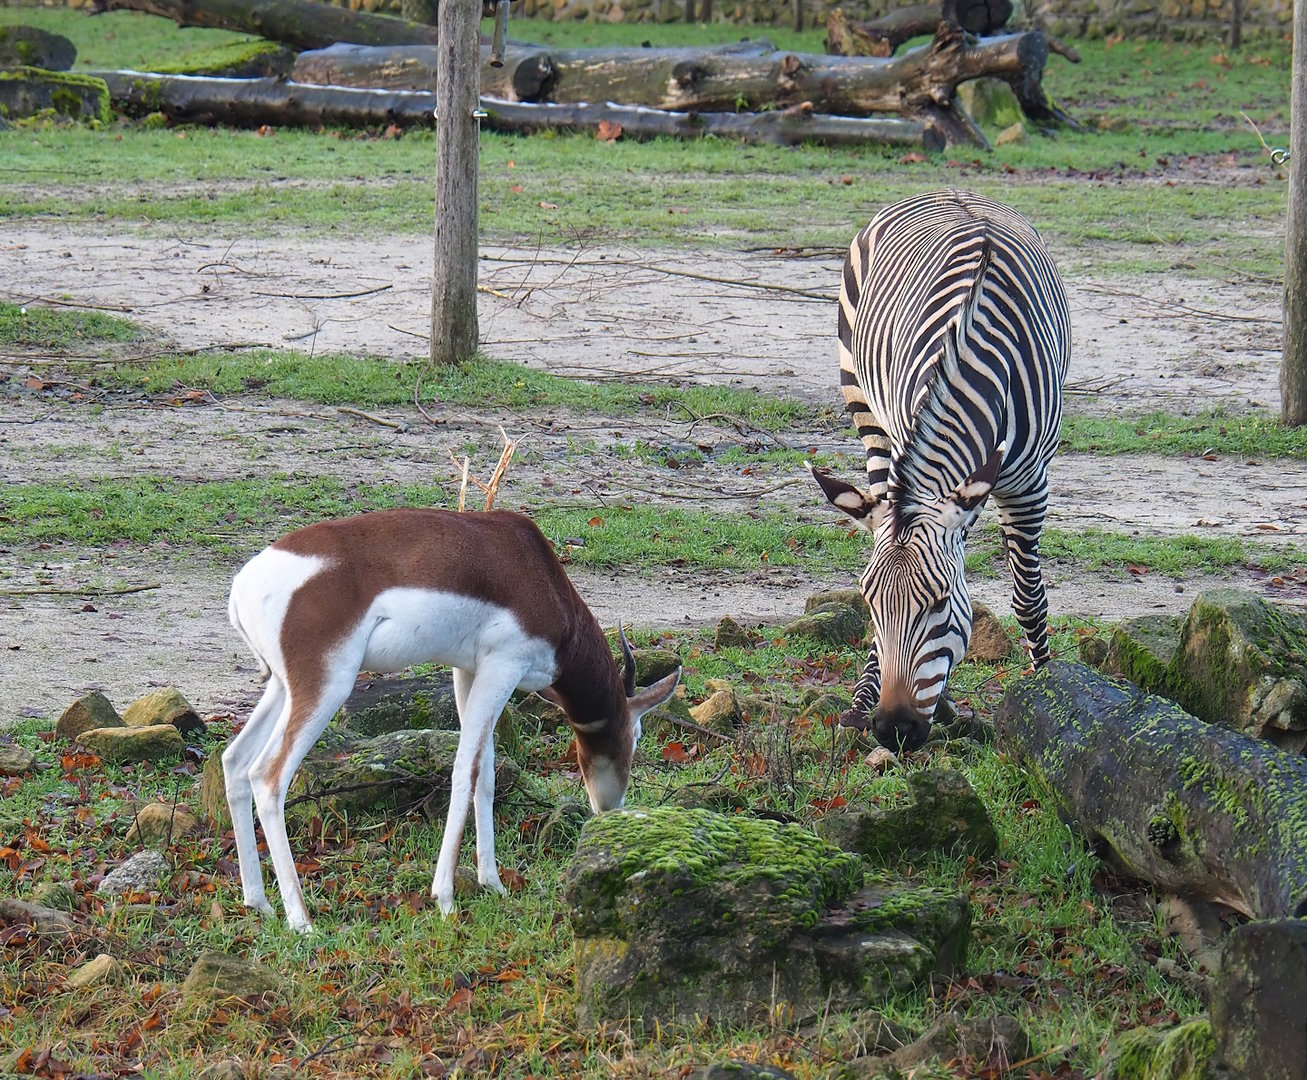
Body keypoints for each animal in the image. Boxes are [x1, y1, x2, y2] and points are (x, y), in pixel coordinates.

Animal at [223, 507, 681, 933]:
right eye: (635, 736)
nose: (610, 810)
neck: (539, 576)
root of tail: (242, 588)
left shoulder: (469, 670)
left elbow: (488, 774)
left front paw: (492, 882)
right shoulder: (504, 666)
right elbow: (467, 770)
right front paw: (444, 897)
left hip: (282, 687)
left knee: (235, 761)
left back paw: (258, 903)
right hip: (326, 686)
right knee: (268, 776)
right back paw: (301, 920)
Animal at [809, 189, 1069, 752]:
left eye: (942, 602)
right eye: (868, 604)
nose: (893, 730)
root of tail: (954, 192)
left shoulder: (1028, 485)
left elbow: (1028, 598)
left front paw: (1050, 692)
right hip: (864, 404)